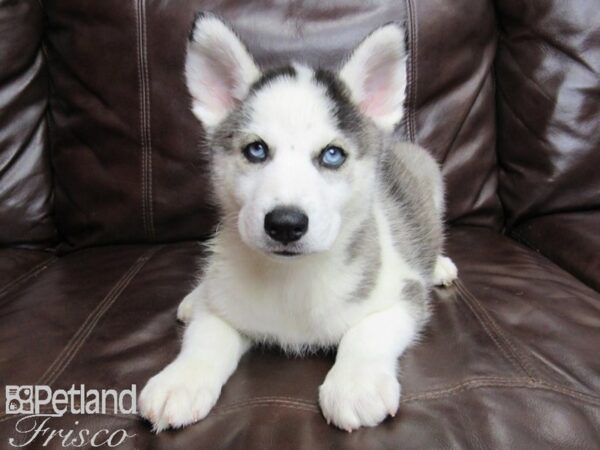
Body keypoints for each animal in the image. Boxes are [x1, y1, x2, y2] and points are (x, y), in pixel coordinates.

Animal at [141, 13, 458, 432]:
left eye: (332, 155)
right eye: (256, 150)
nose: (285, 224)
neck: (291, 280)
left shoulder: (403, 293)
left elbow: (367, 331)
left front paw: (356, 383)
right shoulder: (226, 305)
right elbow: (207, 335)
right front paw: (180, 380)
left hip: (429, 175)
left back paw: (439, 265)